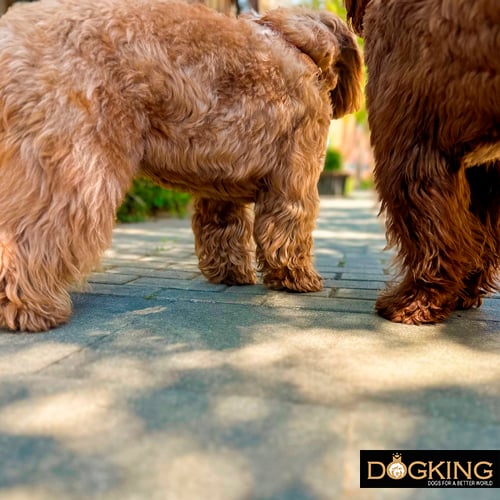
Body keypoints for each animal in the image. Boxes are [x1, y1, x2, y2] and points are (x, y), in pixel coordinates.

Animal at [0, 1, 360, 334]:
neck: (298, 46)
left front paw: (231, 273)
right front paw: (296, 277)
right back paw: (31, 306)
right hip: (76, 171)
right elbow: (289, 229)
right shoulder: (294, 177)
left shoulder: (223, 181)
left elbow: (222, 231)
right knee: (30, 238)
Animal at [344, 0, 500, 326]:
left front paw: (416, 300)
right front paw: (463, 289)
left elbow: (429, 231)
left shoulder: (410, 149)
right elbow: (477, 234)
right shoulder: (485, 172)